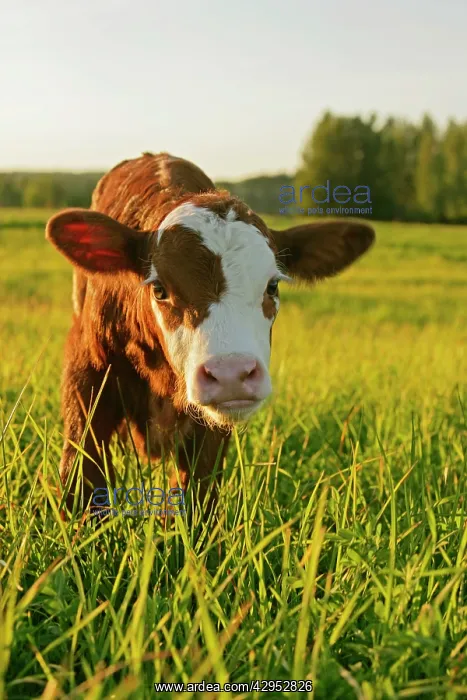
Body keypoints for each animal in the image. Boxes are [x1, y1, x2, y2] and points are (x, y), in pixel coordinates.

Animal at [46, 152, 375, 517]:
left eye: (273, 285)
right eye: (159, 289)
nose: (230, 373)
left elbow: (196, 499)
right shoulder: (87, 370)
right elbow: (82, 478)